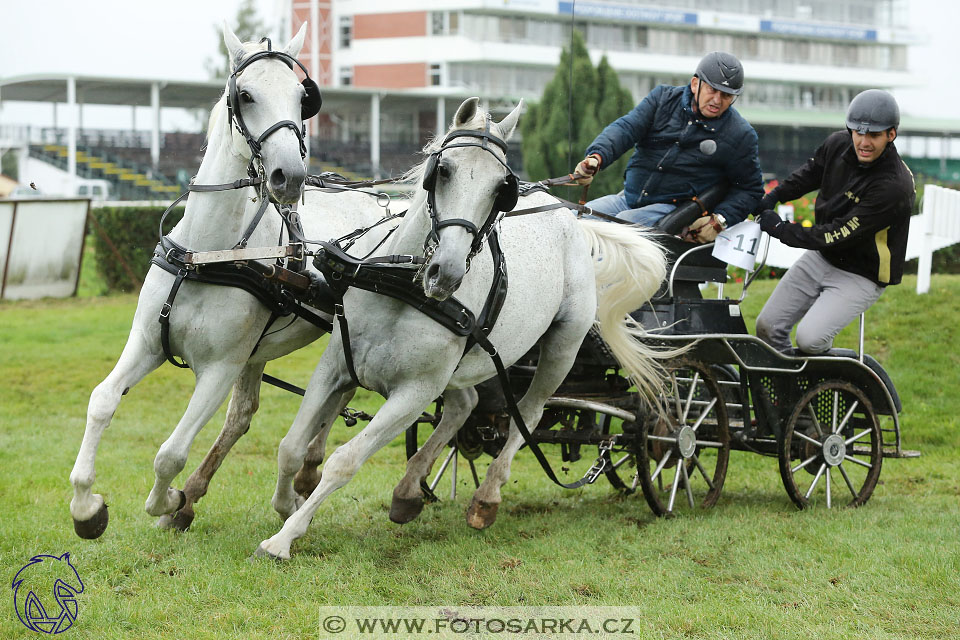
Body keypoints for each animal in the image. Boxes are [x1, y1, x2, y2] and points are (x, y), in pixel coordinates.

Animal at [69, 22, 394, 536]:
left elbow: (170, 453)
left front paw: (167, 500)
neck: (208, 254)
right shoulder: (147, 342)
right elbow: (102, 401)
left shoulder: (220, 367)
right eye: (245, 94)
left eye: (302, 98)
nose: (290, 176)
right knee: (252, 415)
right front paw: (87, 508)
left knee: (331, 394)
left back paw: (302, 474)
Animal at [256, 96, 676, 560]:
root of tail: (573, 219)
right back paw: (409, 490)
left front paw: (284, 538)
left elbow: (344, 462)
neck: (400, 285)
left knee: (527, 413)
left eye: (500, 189)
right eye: (443, 170)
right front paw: (286, 506)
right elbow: (291, 447)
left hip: (563, 345)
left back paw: (487, 497)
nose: (448, 273)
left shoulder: (415, 392)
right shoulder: (335, 367)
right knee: (465, 405)